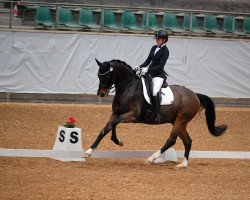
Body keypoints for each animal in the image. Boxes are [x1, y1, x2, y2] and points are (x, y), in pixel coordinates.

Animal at [83, 58, 228, 168]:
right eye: (98, 75)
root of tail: (195, 95)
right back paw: (183, 164)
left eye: (107, 75)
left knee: (171, 140)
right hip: (178, 122)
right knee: (187, 141)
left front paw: (118, 141)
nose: (101, 93)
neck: (128, 88)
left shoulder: (133, 115)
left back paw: (151, 158)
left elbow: (113, 124)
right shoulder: (116, 113)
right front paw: (89, 151)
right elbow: (106, 129)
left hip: (181, 120)